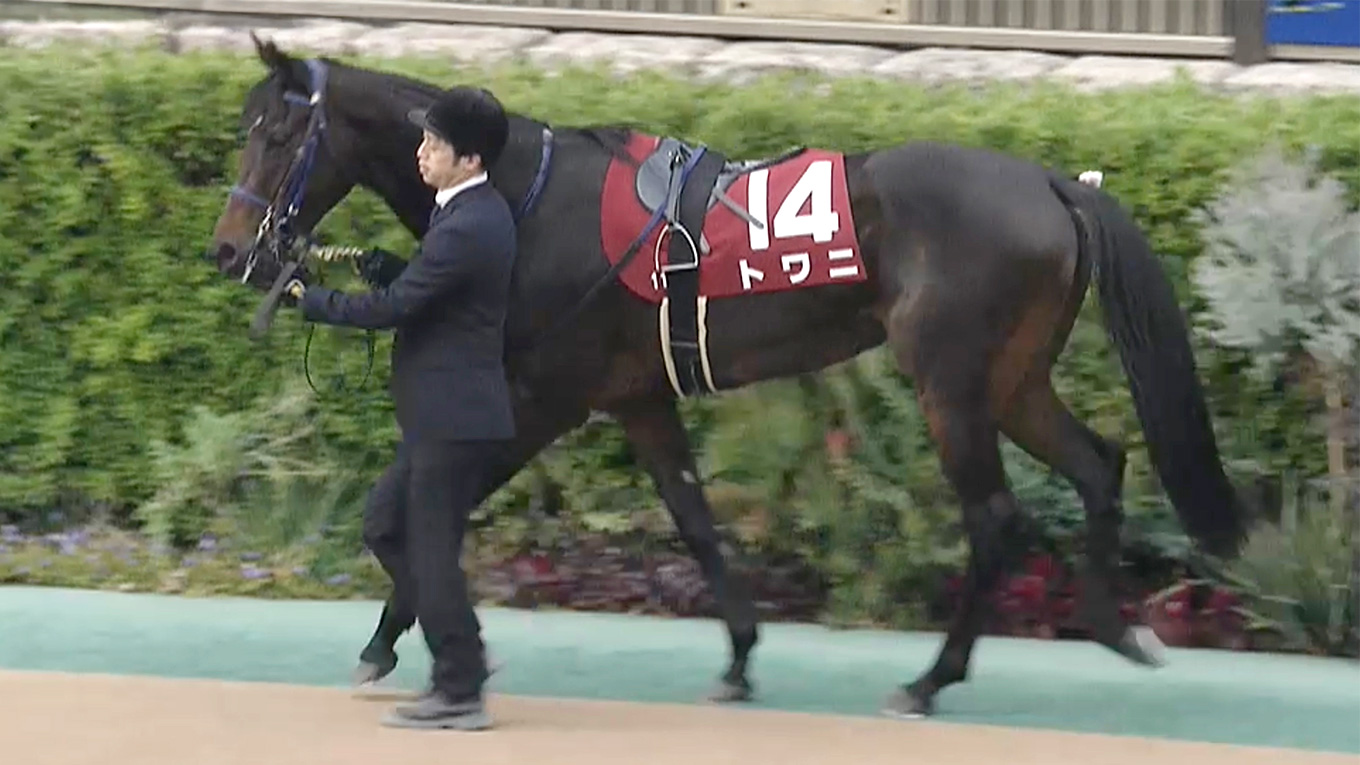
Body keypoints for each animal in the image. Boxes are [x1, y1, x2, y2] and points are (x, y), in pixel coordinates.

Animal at [208, 34, 1252, 718]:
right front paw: (741, 658)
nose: (231, 251)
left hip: (951, 382)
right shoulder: (636, 396)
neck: (527, 199)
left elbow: (420, 518)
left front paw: (405, 645)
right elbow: (696, 518)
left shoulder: (544, 398)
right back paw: (1117, 625)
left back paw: (929, 681)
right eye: (243, 126)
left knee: (996, 518)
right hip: (1014, 379)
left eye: (276, 135)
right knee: (1100, 463)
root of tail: (1051, 182)